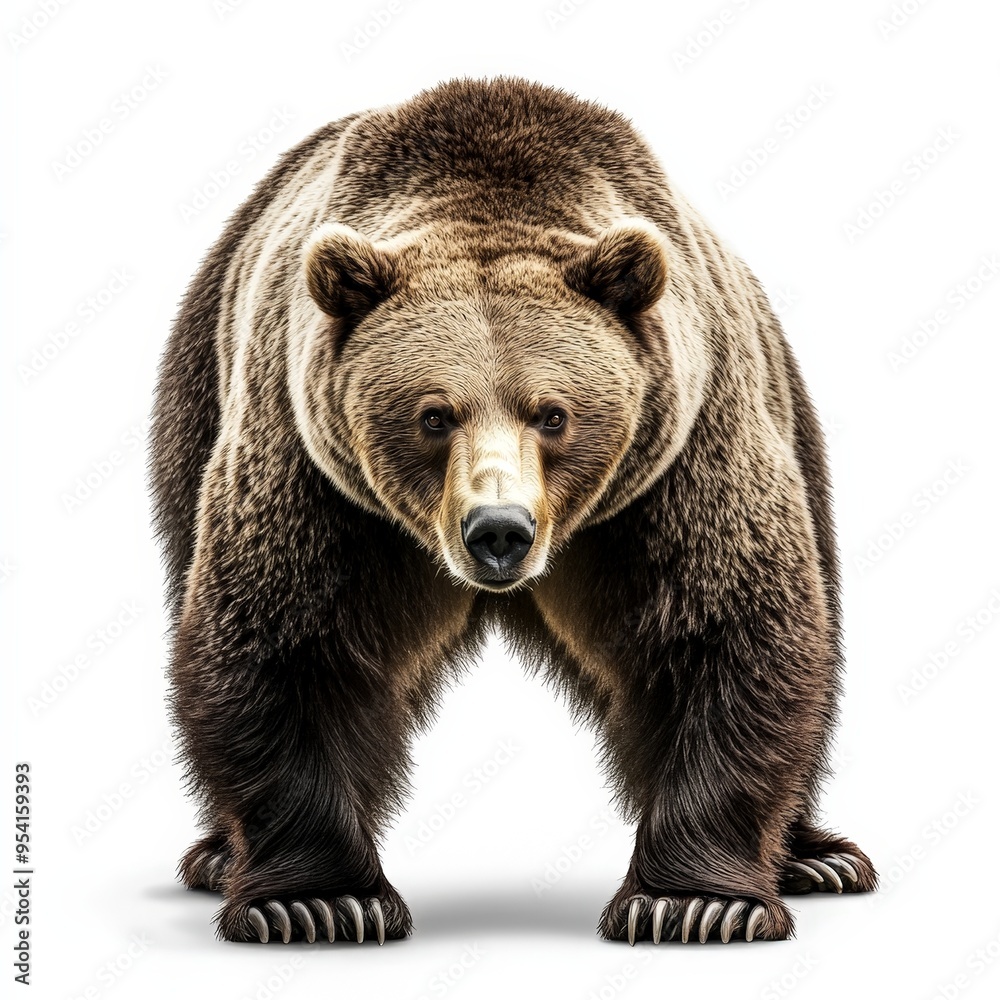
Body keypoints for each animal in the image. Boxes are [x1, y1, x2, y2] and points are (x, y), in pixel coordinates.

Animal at [151, 77, 877, 946]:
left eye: (553, 413)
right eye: (434, 414)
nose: (498, 531)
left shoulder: (683, 454)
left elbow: (725, 629)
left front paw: (694, 902)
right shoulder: (314, 470)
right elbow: (288, 640)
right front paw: (317, 901)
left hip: (787, 405)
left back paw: (817, 858)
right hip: (199, 388)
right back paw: (217, 855)